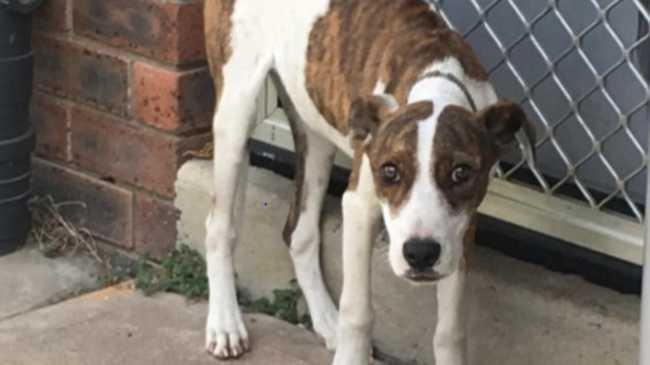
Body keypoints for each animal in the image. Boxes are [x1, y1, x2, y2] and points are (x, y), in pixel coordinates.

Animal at [202, 1, 532, 362]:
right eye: (389, 171)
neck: (436, 83)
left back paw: (327, 322)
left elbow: (450, 331)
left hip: (313, 126)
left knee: (299, 233)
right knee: (219, 227)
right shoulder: (359, 207)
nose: (420, 254)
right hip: (236, 111)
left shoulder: (462, 228)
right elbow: (358, 312)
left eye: (462, 173)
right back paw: (225, 323)